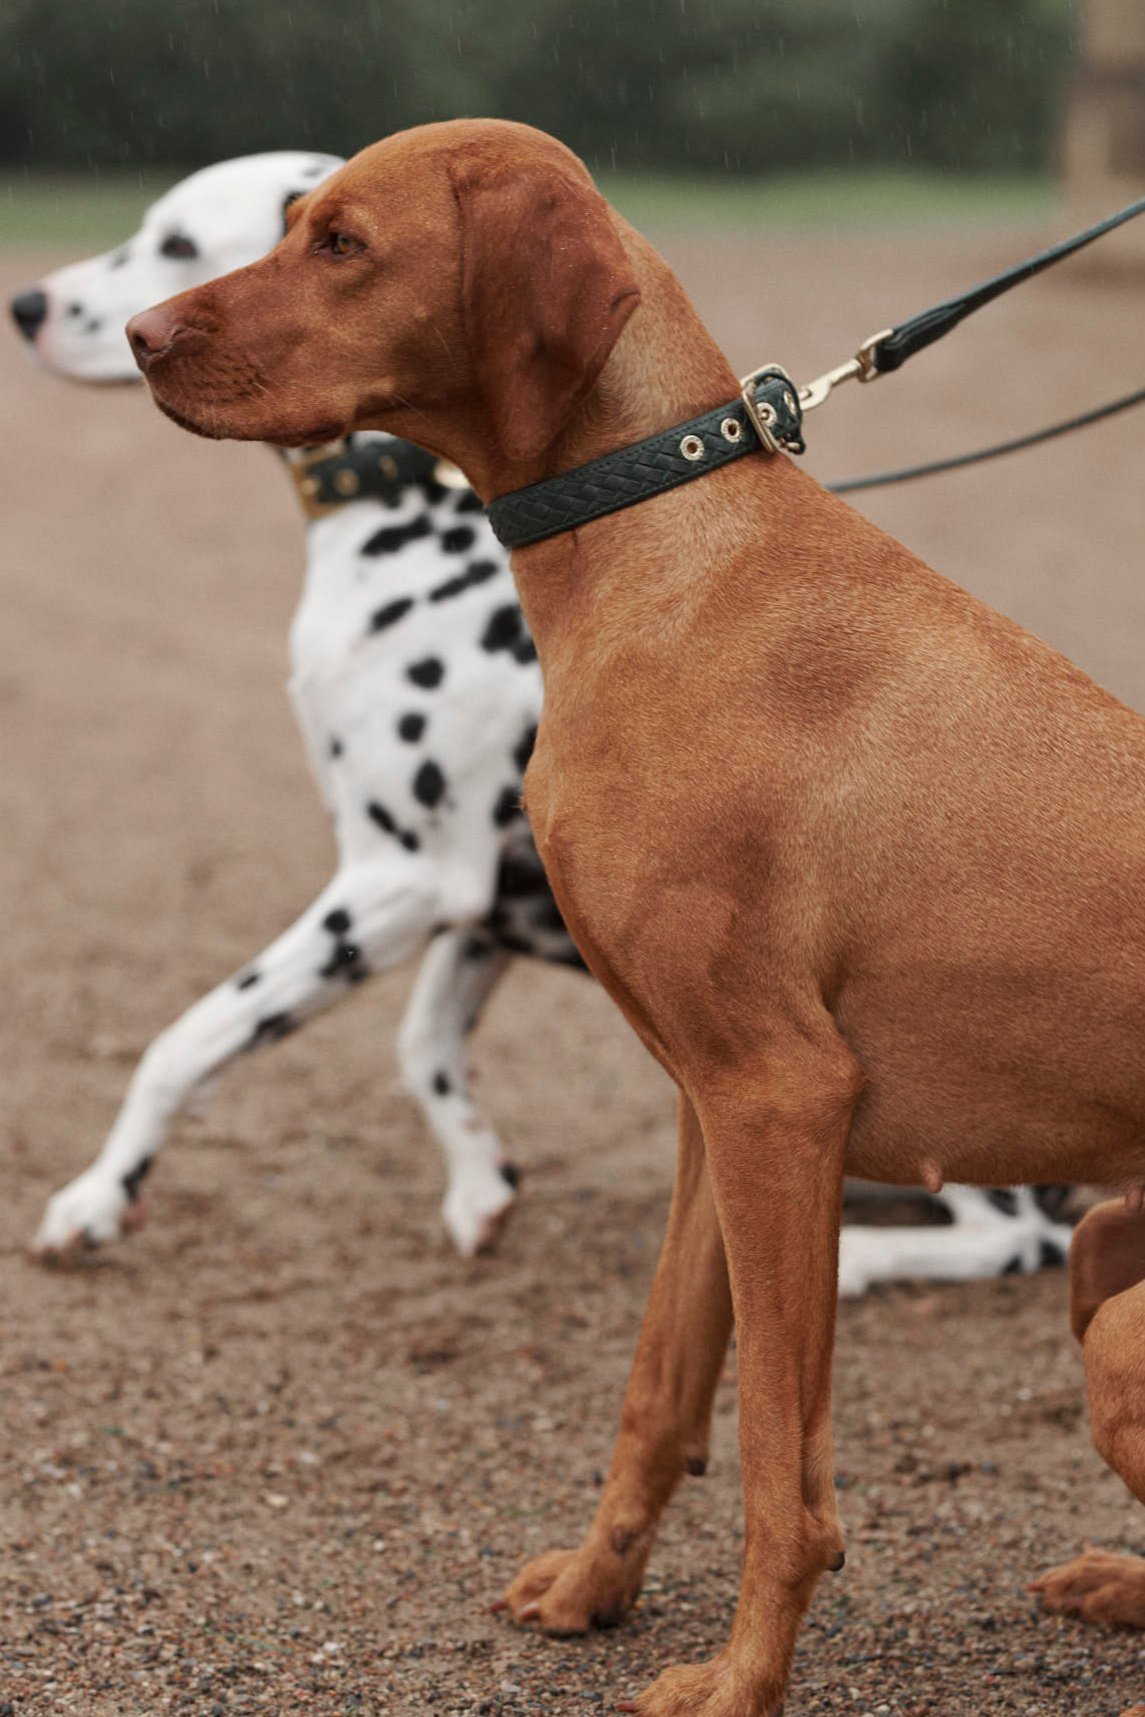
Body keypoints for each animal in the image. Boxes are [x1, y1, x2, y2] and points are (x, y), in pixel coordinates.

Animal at [13, 151, 1078, 1291]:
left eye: (174, 242)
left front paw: (96, 1195)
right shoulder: (488, 897)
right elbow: (422, 1047)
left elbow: (185, 1040)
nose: (26, 304)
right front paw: (480, 1182)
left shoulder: (399, 875)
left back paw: (856, 1257)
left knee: (1018, 1237)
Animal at [127, 117, 1145, 1703]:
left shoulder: (780, 1100)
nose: (137, 334)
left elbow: (781, 1466)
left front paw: (737, 1683)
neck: (665, 560)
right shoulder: (708, 1111)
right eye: (289, 224)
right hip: (1106, 1267)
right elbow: (661, 1390)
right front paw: (595, 1589)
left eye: (340, 242)